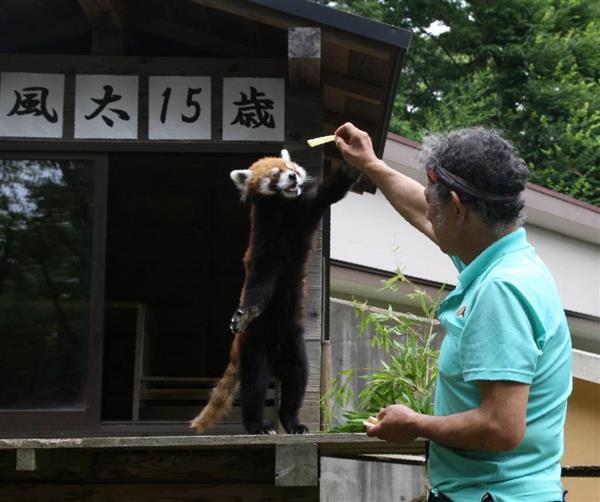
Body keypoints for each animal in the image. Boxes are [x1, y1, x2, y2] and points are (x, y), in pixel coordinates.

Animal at [191, 147, 356, 434]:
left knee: (297, 377)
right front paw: (245, 313)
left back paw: (292, 421)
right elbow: (260, 283)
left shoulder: (305, 214)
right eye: (275, 175)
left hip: (292, 344)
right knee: (254, 386)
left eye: (291, 167)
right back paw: (256, 424)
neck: (283, 211)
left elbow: (331, 192)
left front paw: (350, 162)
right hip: (253, 347)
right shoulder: (264, 243)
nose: (293, 177)